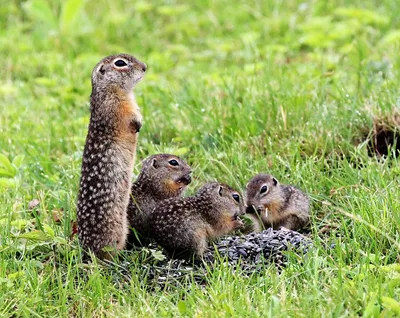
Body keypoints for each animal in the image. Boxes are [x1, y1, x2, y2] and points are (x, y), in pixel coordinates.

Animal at [76, 54, 147, 258]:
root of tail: (85, 249)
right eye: (120, 63)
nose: (145, 67)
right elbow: (128, 115)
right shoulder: (115, 107)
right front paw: (138, 123)